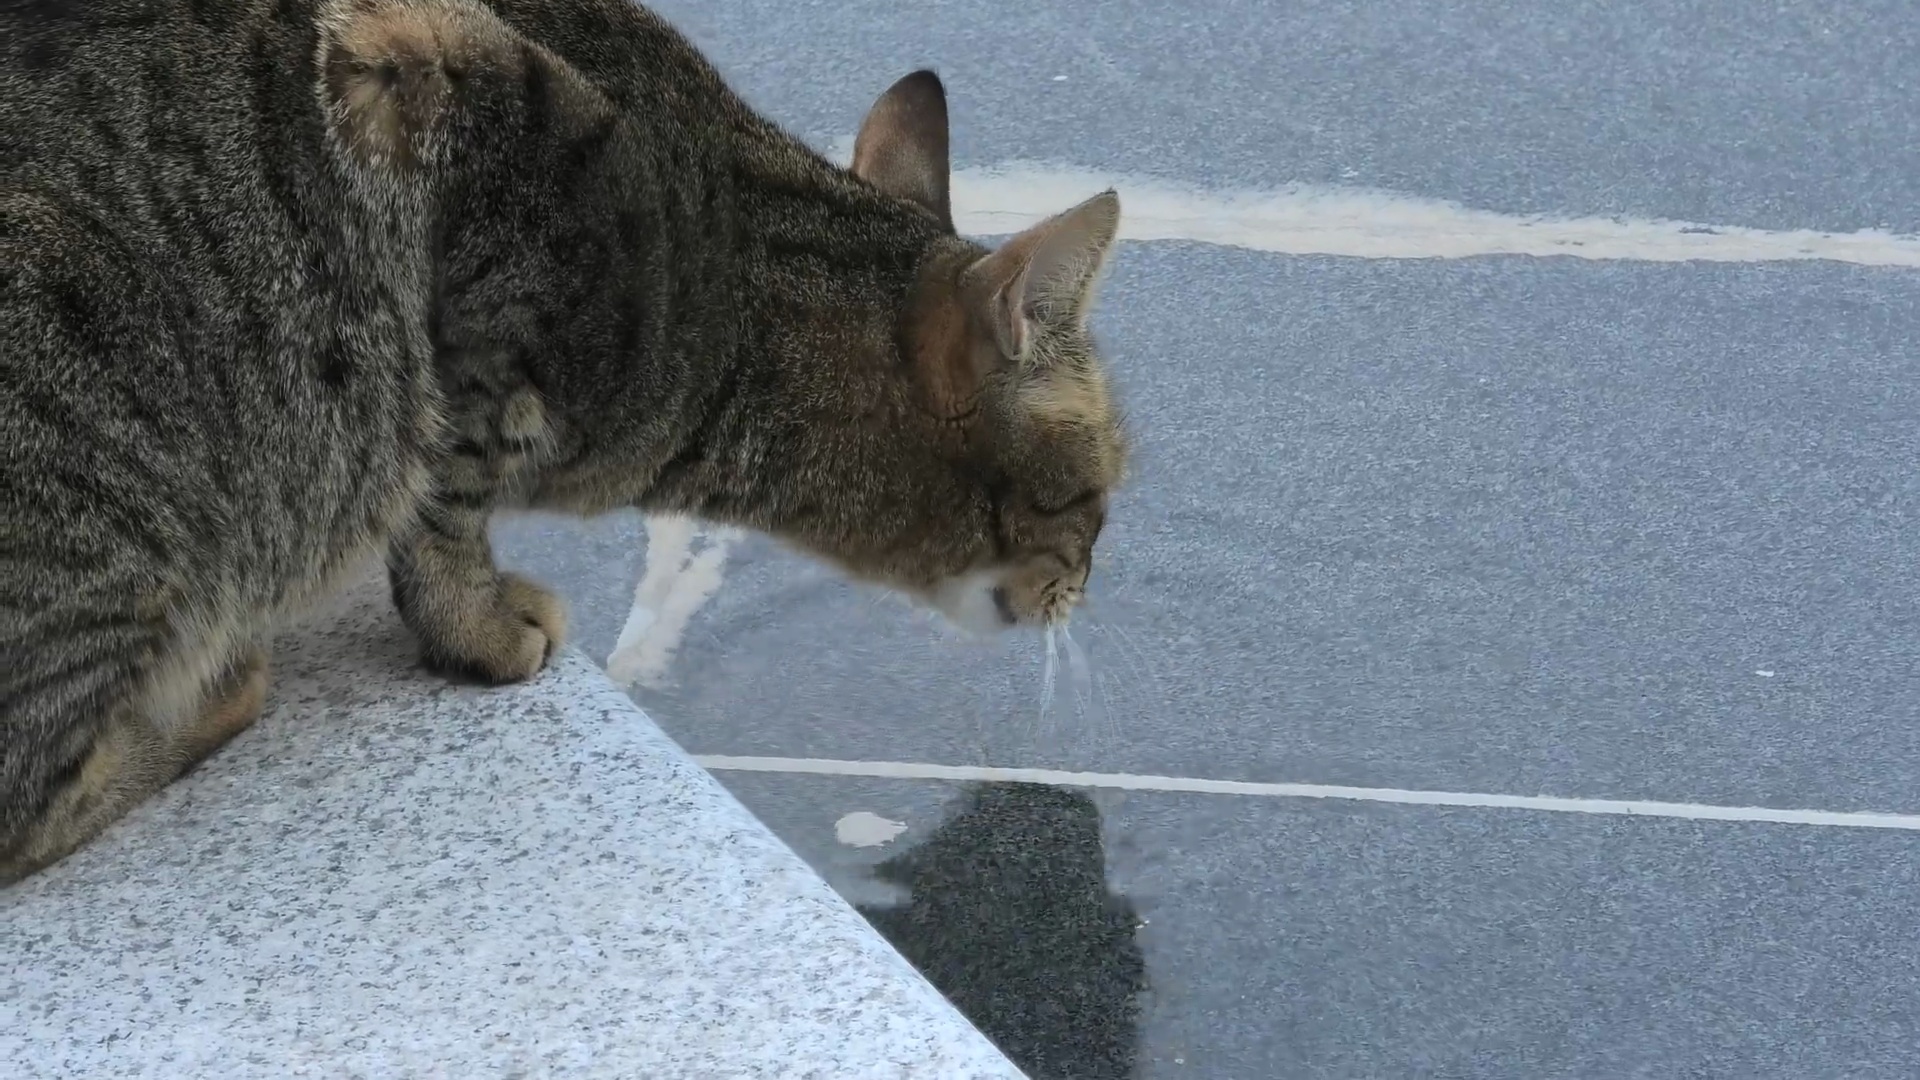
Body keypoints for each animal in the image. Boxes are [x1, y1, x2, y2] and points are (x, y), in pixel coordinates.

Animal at [0, 0, 1121, 876]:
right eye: (1097, 495)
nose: (1085, 587)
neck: (735, 291)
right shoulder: (433, 85)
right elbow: (445, 492)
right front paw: (474, 622)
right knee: (27, 807)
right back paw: (209, 693)